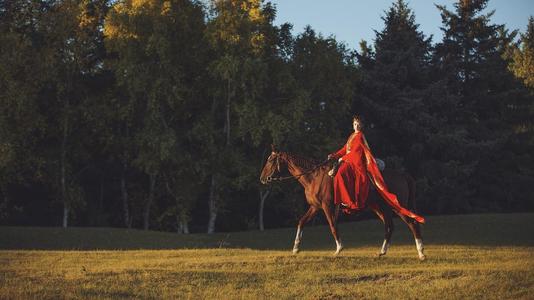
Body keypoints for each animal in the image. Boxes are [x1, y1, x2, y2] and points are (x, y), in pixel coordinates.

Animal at [260, 146, 428, 258]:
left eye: (270, 160)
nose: (262, 178)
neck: (314, 177)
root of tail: (403, 175)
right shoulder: (315, 207)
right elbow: (301, 222)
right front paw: (295, 248)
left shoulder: (327, 206)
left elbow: (333, 226)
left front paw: (339, 249)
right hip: (381, 208)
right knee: (389, 226)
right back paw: (382, 251)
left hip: (398, 207)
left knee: (412, 223)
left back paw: (421, 253)